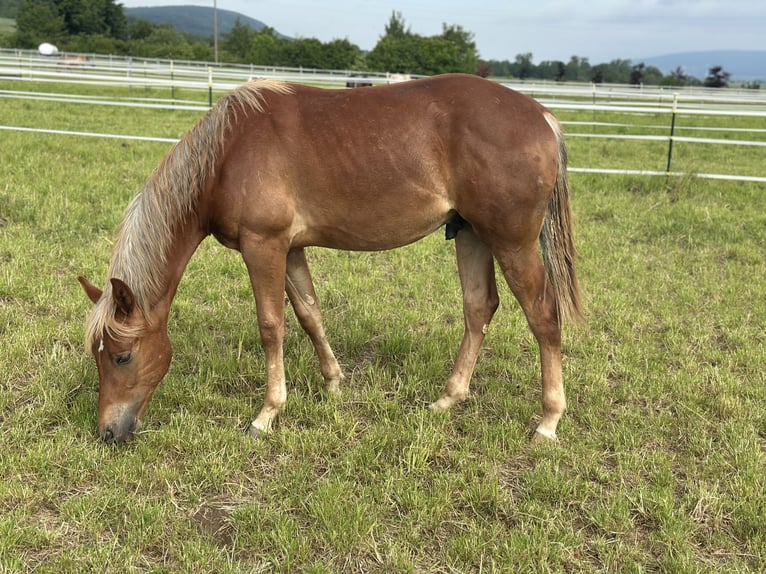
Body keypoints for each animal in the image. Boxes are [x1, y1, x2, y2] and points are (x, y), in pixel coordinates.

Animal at [78, 73, 583, 446]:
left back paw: (548, 422)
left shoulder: (264, 246)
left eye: (122, 357)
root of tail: (542, 116)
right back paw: (447, 399)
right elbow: (309, 314)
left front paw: (266, 415)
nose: (107, 432)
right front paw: (335, 383)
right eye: (97, 355)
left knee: (543, 316)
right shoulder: (290, 248)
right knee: (479, 308)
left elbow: (272, 326)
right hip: (472, 234)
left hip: (512, 242)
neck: (226, 154)